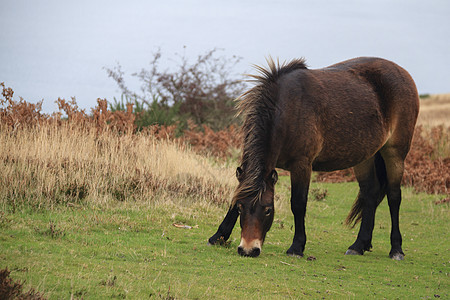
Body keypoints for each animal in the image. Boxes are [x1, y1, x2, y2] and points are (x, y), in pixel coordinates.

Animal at [209, 56, 420, 260]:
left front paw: (296, 247)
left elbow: (298, 203)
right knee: (370, 193)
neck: (287, 109)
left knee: (394, 197)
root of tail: (404, 74)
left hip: (395, 153)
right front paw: (218, 236)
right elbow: (237, 194)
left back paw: (396, 250)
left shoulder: (302, 164)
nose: (248, 250)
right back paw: (358, 245)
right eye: (240, 208)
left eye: (268, 209)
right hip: (365, 157)